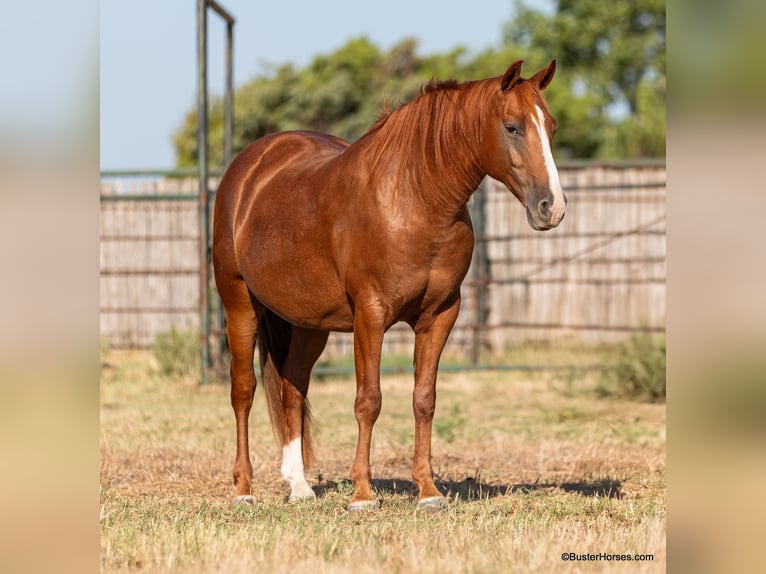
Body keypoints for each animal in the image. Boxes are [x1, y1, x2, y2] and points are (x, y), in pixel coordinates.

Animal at [212, 59, 566, 511]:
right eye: (512, 127)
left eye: (551, 126)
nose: (552, 207)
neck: (413, 201)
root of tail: (249, 169)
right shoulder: (371, 314)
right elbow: (369, 400)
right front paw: (362, 494)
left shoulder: (440, 315)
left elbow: (424, 400)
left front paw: (429, 490)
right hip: (239, 304)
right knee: (244, 391)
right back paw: (243, 489)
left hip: (309, 324)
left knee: (293, 388)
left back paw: (299, 486)